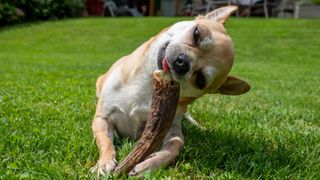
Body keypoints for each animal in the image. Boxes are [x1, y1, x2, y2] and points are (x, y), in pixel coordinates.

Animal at [90, 5, 250, 176]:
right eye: (196, 34)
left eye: (200, 80)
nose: (183, 62)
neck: (147, 84)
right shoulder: (102, 118)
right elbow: (105, 141)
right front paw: (104, 163)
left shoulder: (169, 128)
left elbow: (175, 146)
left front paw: (150, 164)